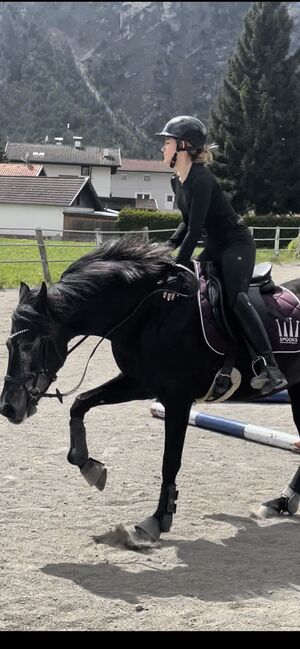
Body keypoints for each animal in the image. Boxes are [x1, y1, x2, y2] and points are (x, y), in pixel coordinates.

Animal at [0, 235, 300, 540]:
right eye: (9, 344)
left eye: (30, 344)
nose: (8, 407)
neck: (147, 314)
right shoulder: (140, 384)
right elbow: (80, 403)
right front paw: (89, 465)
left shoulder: (178, 399)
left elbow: (170, 460)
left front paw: (158, 518)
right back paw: (281, 502)